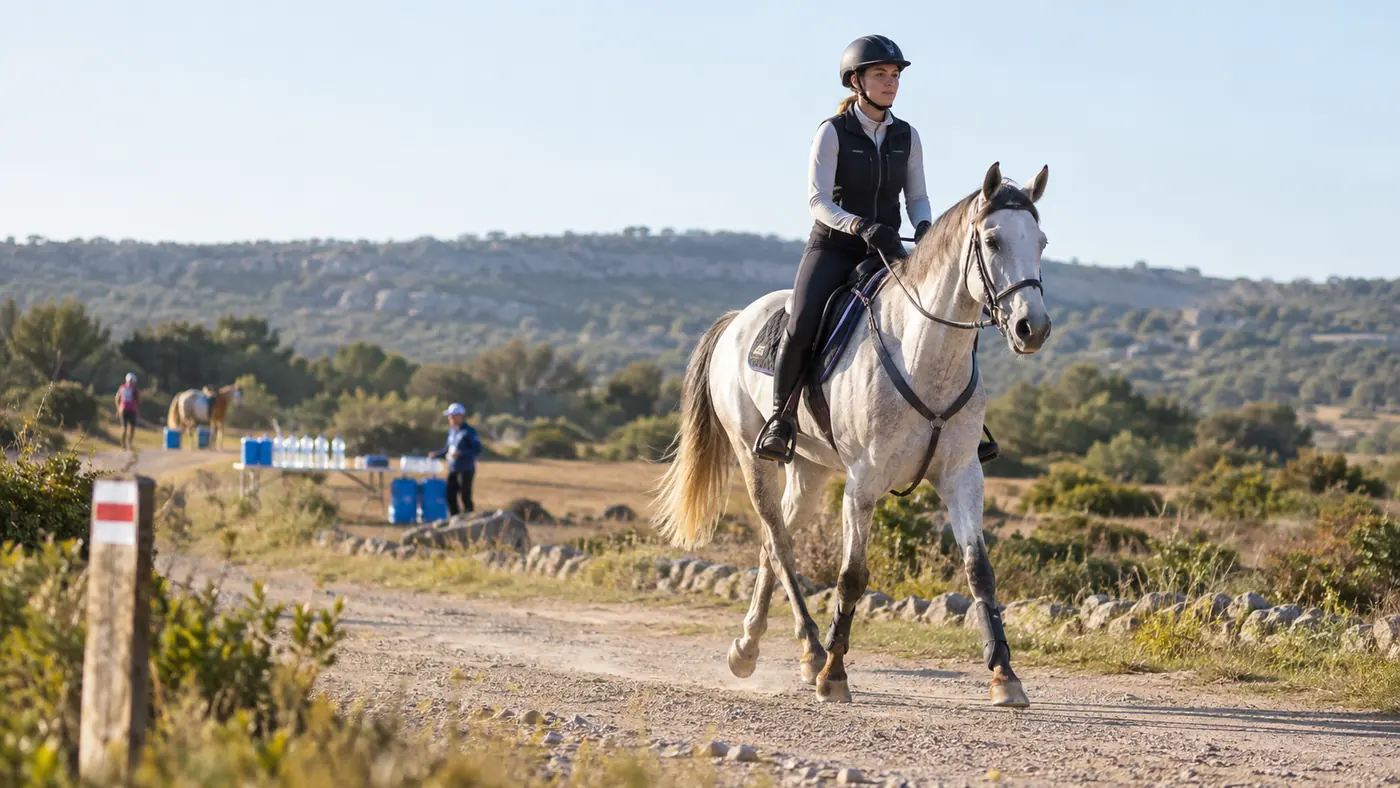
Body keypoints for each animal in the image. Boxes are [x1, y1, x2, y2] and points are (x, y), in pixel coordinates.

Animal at [652, 162, 1052, 708]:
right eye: (991, 240)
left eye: (1042, 242)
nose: (1034, 328)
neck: (925, 353)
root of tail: (739, 320)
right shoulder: (864, 483)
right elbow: (852, 577)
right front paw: (835, 675)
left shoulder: (963, 476)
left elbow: (980, 571)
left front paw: (1004, 675)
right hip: (754, 457)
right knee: (779, 542)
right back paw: (810, 651)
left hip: (810, 470)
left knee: (776, 543)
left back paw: (756, 647)